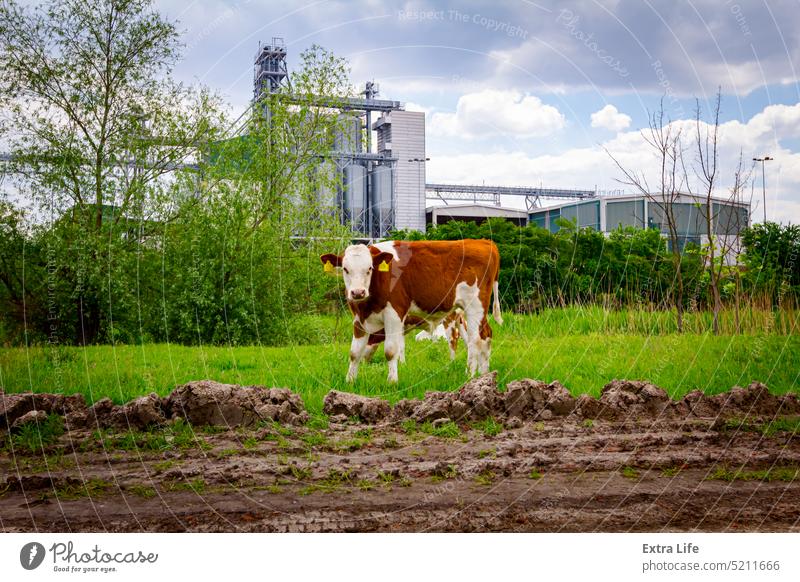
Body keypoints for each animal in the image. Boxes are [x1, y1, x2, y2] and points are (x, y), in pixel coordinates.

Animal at [318, 240, 500, 386]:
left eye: (369, 268)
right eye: (345, 269)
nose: (357, 292)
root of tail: (484, 242)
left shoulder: (394, 315)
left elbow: (391, 350)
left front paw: (392, 382)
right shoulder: (358, 320)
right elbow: (354, 353)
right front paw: (350, 381)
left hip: (474, 306)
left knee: (474, 340)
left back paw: (469, 375)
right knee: (486, 334)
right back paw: (484, 374)